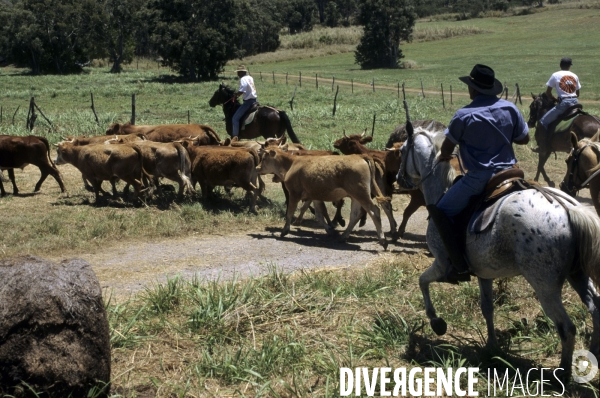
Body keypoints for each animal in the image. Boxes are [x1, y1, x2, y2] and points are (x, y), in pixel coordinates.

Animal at [398, 124, 600, 380]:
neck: (443, 188)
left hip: (545, 287)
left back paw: (562, 374)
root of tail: (566, 207)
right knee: (596, 309)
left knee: (567, 327)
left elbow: (422, 282)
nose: (399, 178)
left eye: (402, 151)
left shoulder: (442, 265)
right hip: (578, 275)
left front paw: (436, 322)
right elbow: (487, 309)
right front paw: (491, 346)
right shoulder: (484, 274)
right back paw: (592, 354)